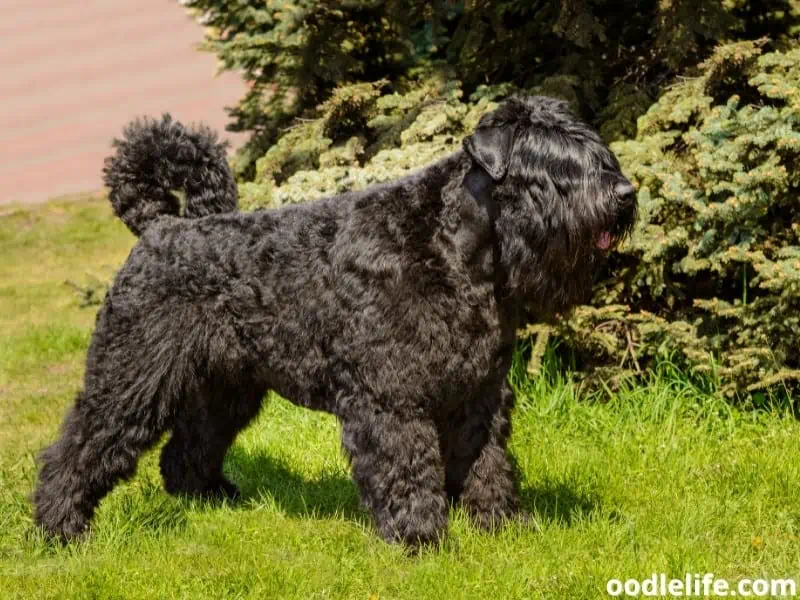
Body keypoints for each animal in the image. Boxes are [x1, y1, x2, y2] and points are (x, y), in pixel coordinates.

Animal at [32, 96, 636, 548]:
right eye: (553, 166)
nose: (625, 194)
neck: (453, 247)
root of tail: (160, 225)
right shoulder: (392, 395)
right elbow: (407, 466)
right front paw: (420, 541)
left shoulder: (479, 392)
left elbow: (485, 462)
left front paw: (502, 526)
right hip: (133, 374)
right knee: (81, 443)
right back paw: (60, 528)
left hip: (226, 387)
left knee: (188, 447)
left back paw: (212, 499)